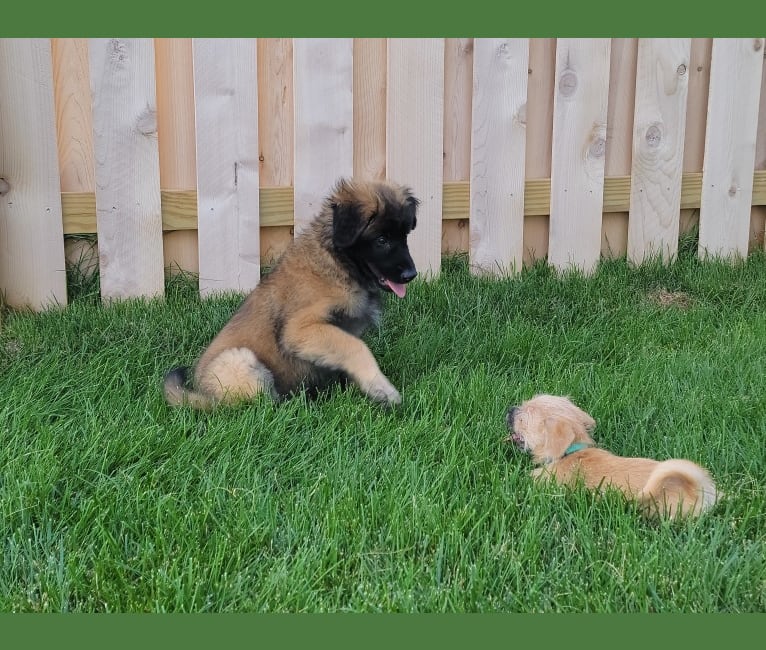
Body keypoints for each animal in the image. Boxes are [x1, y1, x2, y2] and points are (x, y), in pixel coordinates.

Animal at [164, 177, 420, 408]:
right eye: (381, 240)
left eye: (405, 236)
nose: (411, 275)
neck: (337, 263)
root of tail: (203, 395)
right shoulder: (300, 329)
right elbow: (356, 347)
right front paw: (381, 388)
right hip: (239, 360)